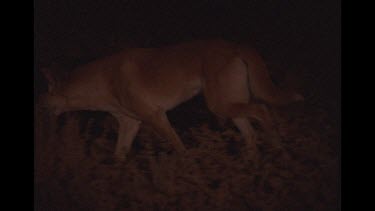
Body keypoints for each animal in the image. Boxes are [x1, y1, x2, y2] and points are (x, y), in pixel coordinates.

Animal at [37, 39, 302, 161]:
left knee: (263, 110)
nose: (38, 109)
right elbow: (119, 156)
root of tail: (236, 44)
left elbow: (179, 147)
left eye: (43, 96)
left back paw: (278, 150)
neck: (102, 80)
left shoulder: (156, 117)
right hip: (229, 108)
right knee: (251, 132)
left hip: (221, 105)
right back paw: (250, 163)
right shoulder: (130, 123)